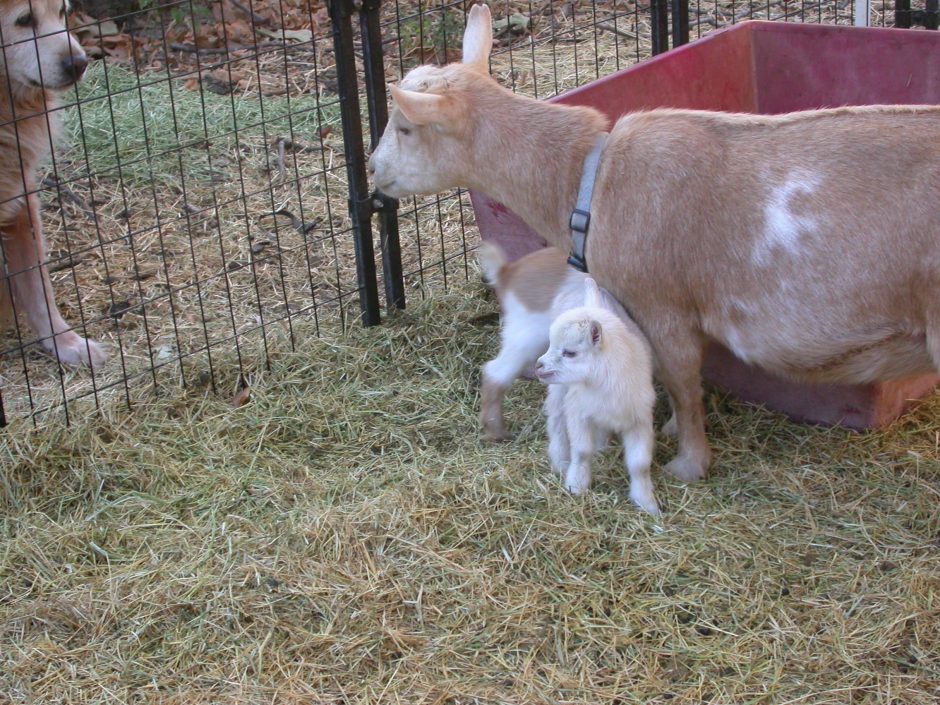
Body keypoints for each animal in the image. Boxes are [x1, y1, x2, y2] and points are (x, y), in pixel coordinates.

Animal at [369, 2, 940, 482]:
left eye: (405, 128)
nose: (373, 170)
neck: (588, 178)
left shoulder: (662, 303)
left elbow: (683, 383)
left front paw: (688, 464)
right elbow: (673, 379)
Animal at [536, 277, 659, 515]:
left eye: (570, 352)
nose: (538, 365)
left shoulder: (639, 419)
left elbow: (640, 465)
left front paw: (647, 503)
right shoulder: (577, 410)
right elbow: (582, 451)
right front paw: (576, 485)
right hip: (559, 389)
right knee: (556, 418)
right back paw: (560, 461)